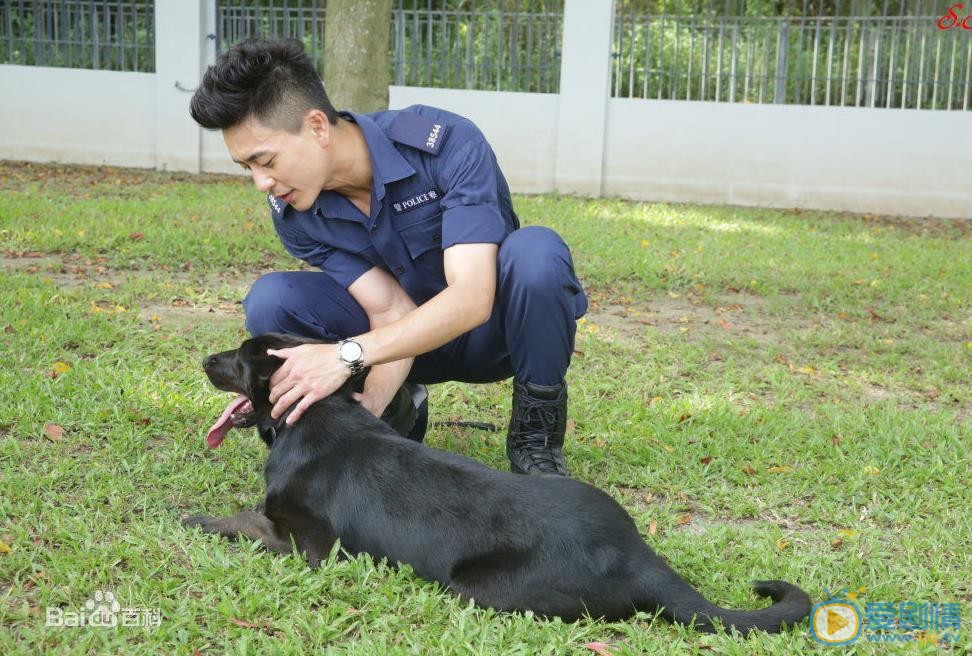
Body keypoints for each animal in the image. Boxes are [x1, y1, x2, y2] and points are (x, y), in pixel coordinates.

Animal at [184, 336, 812, 632]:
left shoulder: (309, 544)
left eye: (239, 358)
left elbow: (242, 519)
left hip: (476, 588)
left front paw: (193, 517)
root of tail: (635, 555)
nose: (203, 358)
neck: (316, 412)